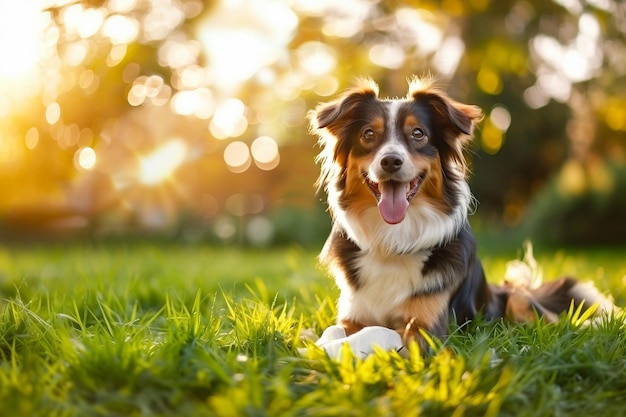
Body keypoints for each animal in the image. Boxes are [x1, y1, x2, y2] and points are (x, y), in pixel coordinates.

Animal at [308, 75, 616, 352]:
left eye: (418, 133)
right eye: (368, 135)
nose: (390, 161)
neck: (393, 239)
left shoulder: (427, 330)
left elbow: (376, 331)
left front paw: (320, 353)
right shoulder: (352, 314)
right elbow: (334, 328)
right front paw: (316, 341)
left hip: (519, 301)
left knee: (553, 321)